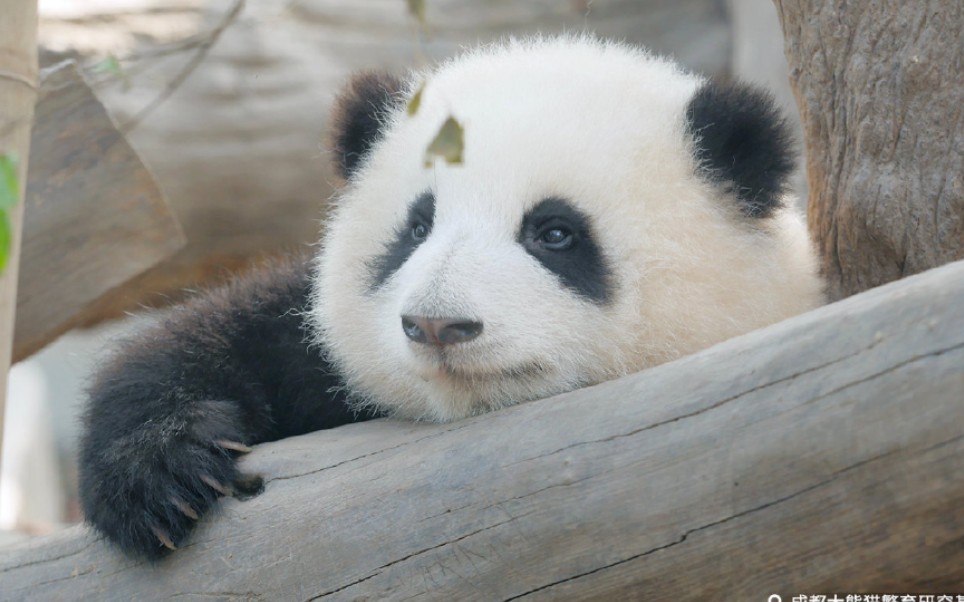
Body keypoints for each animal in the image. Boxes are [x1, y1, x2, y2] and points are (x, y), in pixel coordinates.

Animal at [79, 35, 824, 556]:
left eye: (555, 232)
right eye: (416, 227)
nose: (438, 325)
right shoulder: (305, 348)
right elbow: (209, 336)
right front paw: (161, 477)